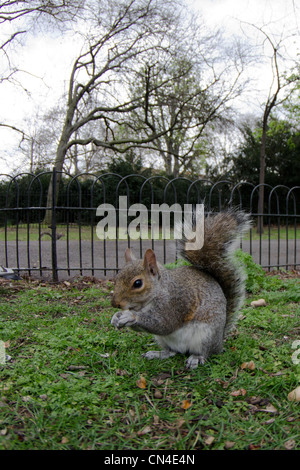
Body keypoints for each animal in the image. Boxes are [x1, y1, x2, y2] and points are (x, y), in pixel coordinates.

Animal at [111, 208, 250, 368]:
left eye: (138, 283)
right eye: (116, 277)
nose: (115, 303)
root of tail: (220, 341)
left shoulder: (174, 302)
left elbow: (164, 324)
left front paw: (131, 316)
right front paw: (116, 317)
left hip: (205, 336)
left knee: (205, 352)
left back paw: (196, 358)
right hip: (164, 340)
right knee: (172, 352)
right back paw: (159, 354)